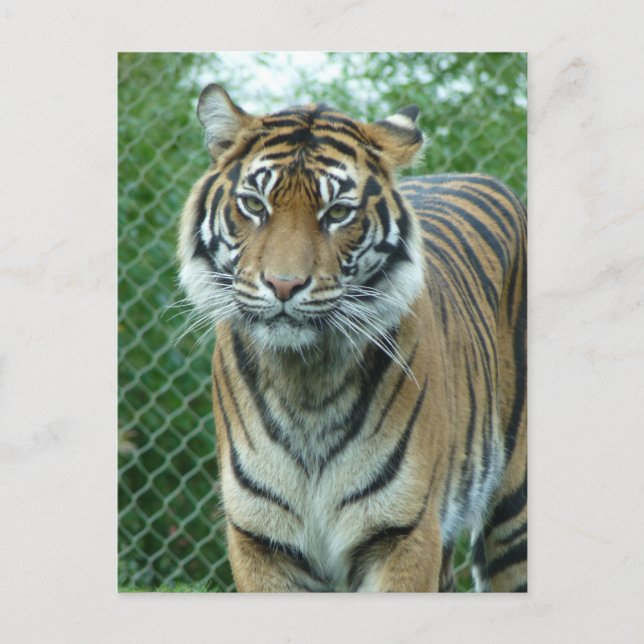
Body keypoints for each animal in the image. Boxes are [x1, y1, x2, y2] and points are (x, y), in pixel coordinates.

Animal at [178, 83, 527, 592]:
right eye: (255, 205)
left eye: (338, 212)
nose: (284, 285)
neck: (306, 383)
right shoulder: (261, 540)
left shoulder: (403, 533)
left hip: (513, 514)